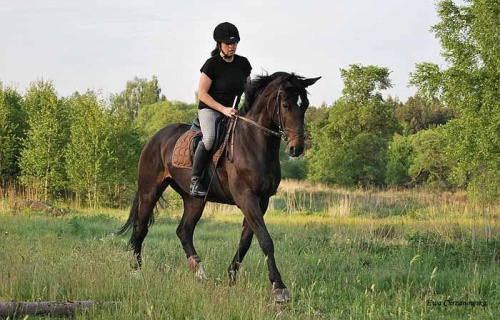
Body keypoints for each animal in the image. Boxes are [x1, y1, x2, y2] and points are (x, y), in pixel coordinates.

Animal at [116, 72, 320, 302]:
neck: (253, 143)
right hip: (149, 190)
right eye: (285, 105)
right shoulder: (246, 197)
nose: (297, 149)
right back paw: (136, 272)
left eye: (305, 105)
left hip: (194, 199)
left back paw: (200, 273)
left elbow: (246, 241)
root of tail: (156, 137)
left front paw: (231, 278)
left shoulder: (262, 201)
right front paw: (279, 288)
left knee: (184, 231)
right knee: (141, 227)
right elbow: (265, 240)